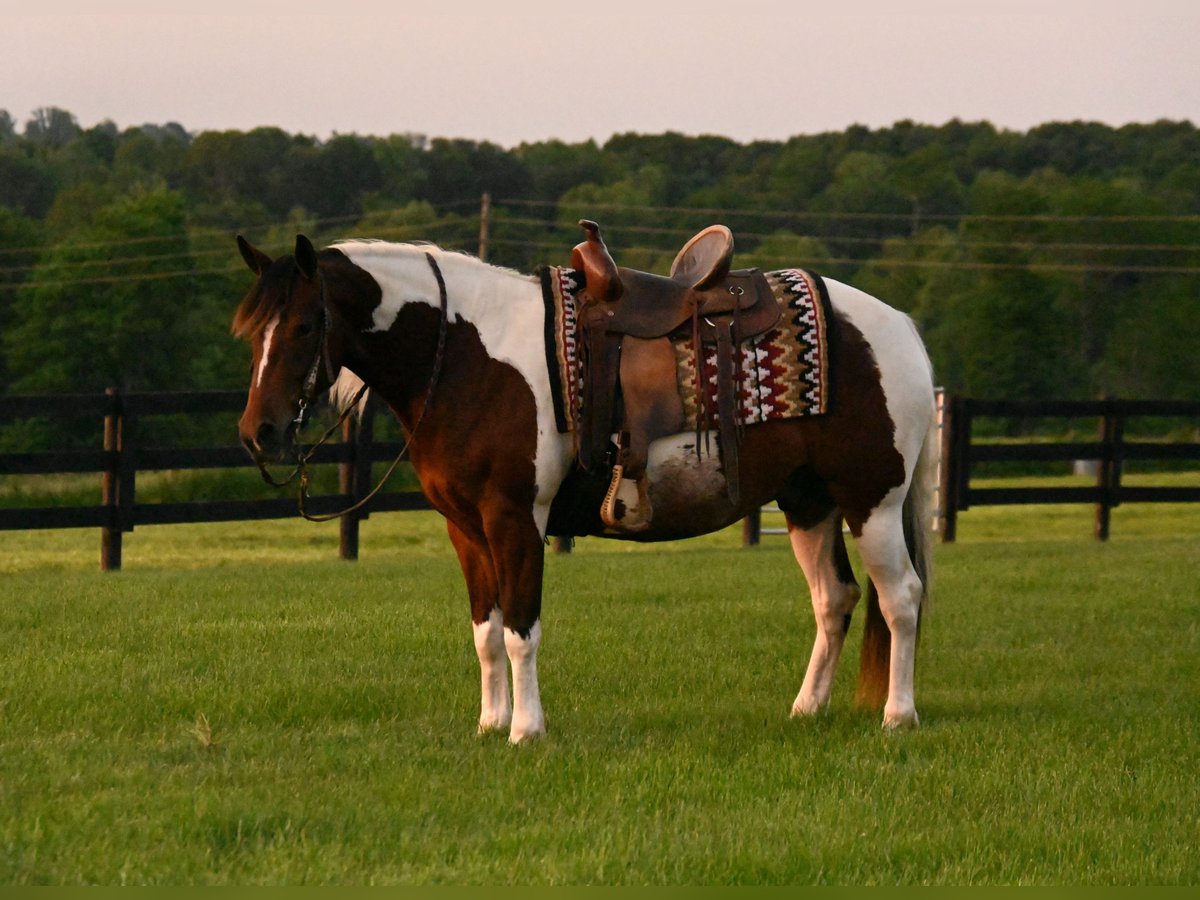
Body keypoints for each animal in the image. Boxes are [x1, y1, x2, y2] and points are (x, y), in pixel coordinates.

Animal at [233, 231, 938, 742]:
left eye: (303, 326)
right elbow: (485, 631)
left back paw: (898, 716)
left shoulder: (516, 519)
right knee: (835, 599)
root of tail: (900, 325)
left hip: (872, 501)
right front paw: (489, 725)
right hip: (808, 501)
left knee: (900, 598)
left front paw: (526, 730)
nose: (258, 433)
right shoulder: (465, 529)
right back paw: (806, 709)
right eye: (250, 331)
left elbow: (520, 628)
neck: (466, 356)